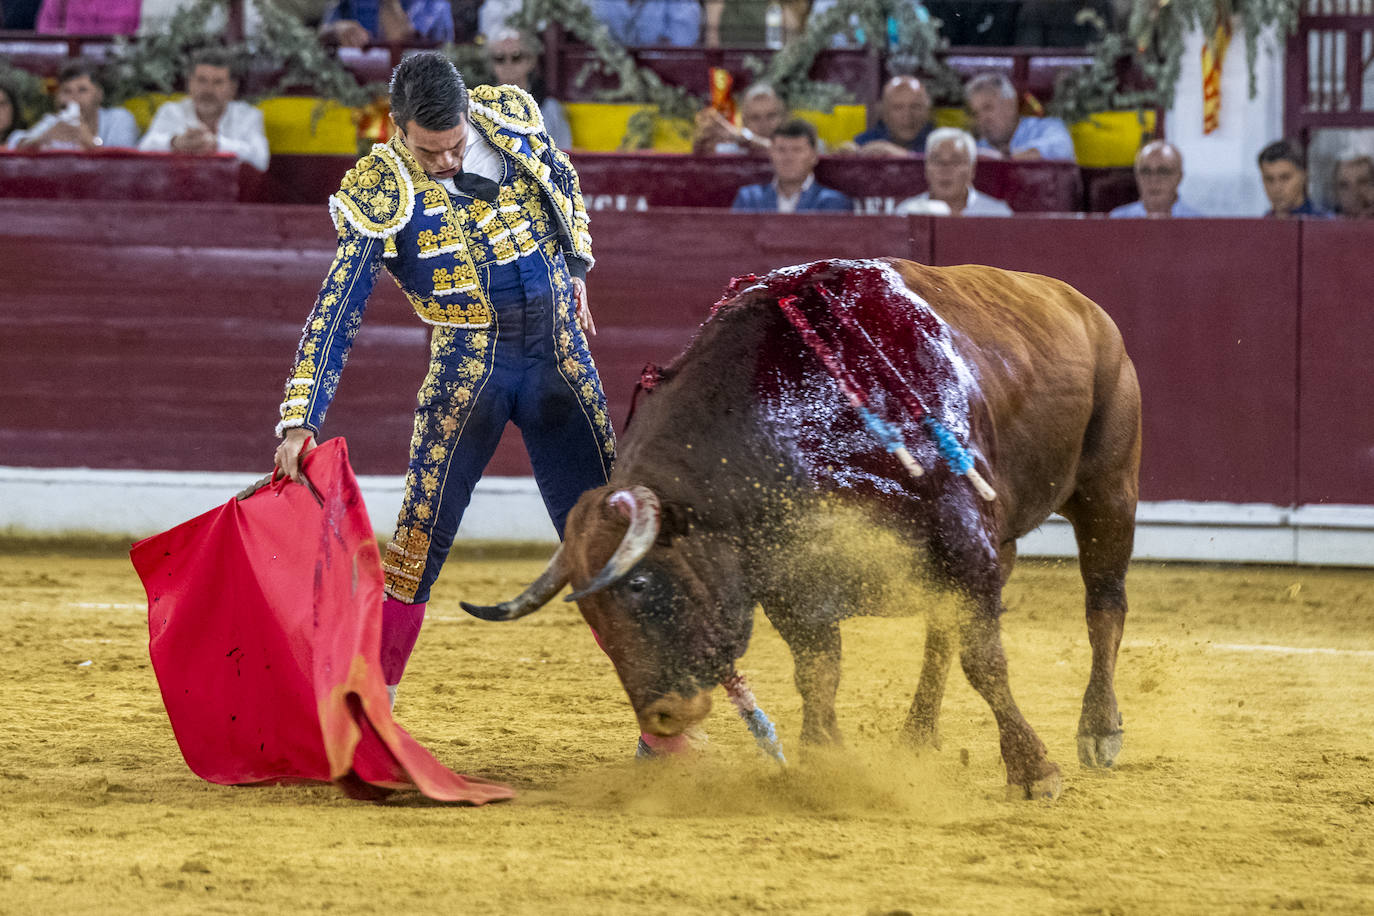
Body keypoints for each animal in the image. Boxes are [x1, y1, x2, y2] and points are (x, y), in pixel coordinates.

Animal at [467, 258, 1143, 802]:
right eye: (589, 613)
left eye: (637, 586)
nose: (661, 716)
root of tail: (1086, 309)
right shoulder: (793, 579)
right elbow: (819, 669)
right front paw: (824, 763)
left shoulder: (965, 543)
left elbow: (987, 663)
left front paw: (1033, 772)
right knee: (940, 635)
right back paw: (916, 736)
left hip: (1109, 491)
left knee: (1104, 606)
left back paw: (1100, 730)